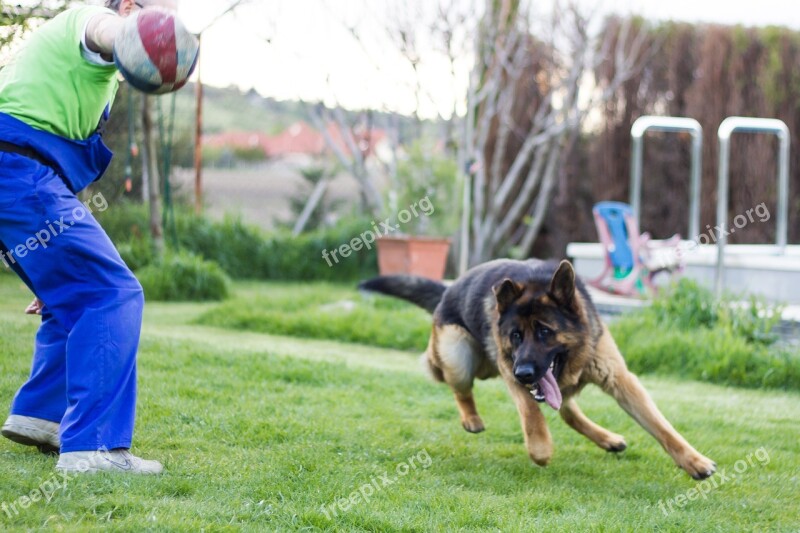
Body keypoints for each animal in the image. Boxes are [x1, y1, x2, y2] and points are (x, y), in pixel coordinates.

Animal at [360, 258, 716, 478]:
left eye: (545, 331)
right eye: (515, 336)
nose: (525, 373)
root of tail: (448, 288)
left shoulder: (620, 379)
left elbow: (662, 428)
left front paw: (695, 462)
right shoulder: (511, 372)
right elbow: (532, 413)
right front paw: (540, 449)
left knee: (569, 411)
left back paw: (607, 438)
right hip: (462, 357)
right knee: (457, 384)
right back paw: (471, 418)